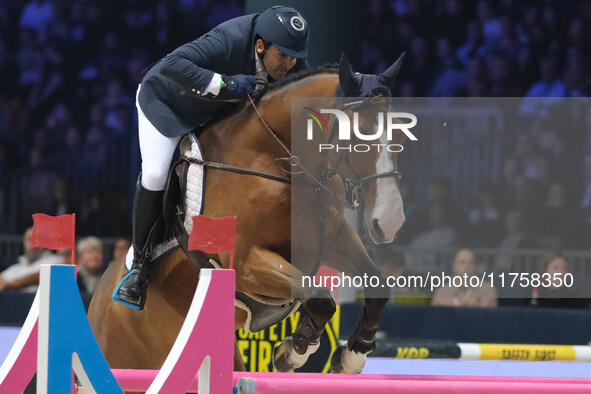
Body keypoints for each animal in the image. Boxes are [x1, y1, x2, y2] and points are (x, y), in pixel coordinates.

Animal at [89, 53, 408, 376]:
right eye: (355, 136)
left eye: (399, 133)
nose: (390, 222)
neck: (280, 162)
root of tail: (96, 301)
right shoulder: (245, 262)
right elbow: (321, 299)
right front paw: (292, 353)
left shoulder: (333, 239)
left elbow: (377, 287)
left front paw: (351, 355)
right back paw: (133, 286)